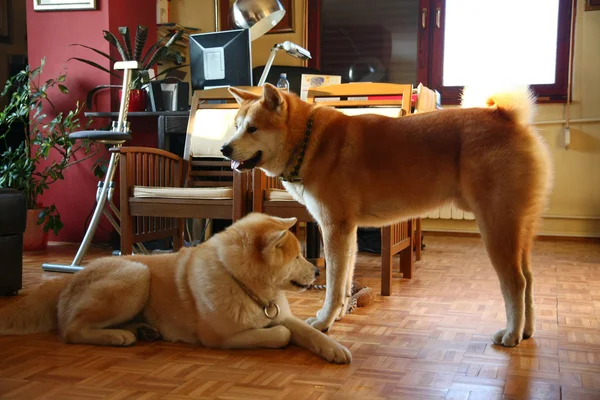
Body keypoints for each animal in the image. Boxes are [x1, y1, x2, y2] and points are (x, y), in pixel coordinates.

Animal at [223, 83, 552, 346]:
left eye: (253, 128)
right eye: (236, 125)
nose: (225, 149)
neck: (309, 142)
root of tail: (507, 117)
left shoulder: (334, 228)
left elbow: (332, 284)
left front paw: (324, 322)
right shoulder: (347, 231)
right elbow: (344, 282)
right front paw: (338, 315)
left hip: (496, 228)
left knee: (516, 283)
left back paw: (511, 334)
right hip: (519, 229)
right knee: (529, 279)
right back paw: (527, 331)